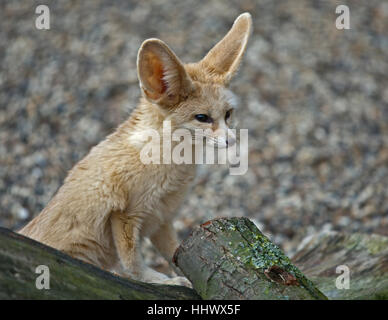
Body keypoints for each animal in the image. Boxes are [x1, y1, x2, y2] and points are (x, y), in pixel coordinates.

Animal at [19, 12, 253, 284]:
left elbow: (176, 255)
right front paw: (165, 282)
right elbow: (133, 265)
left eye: (228, 115)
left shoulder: (162, 218)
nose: (232, 141)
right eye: (202, 118)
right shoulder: (124, 215)